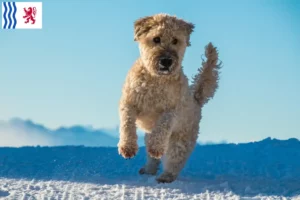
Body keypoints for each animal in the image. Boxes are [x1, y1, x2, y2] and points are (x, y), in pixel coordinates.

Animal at [118, 13, 221, 184]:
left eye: (175, 40)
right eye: (156, 38)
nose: (166, 61)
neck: (156, 80)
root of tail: (196, 99)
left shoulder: (172, 110)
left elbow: (163, 125)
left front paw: (156, 147)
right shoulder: (129, 102)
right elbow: (127, 123)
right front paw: (127, 147)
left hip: (181, 139)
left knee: (174, 160)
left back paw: (165, 176)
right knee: (153, 158)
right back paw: (148, 169)